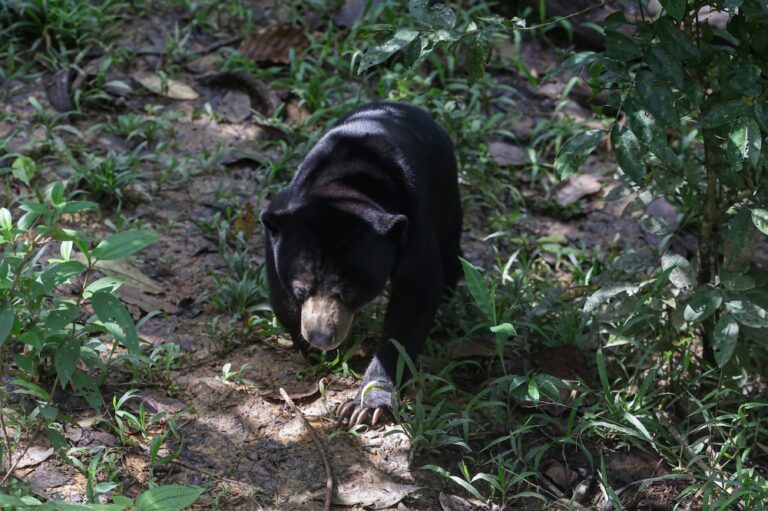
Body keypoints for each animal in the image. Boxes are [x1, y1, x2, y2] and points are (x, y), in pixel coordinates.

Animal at [260, 101, 462, 426]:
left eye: (349, 292)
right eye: (302, 290)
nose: (321, 338)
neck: (346, 188)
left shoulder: (413, 223)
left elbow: (416, 295)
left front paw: (368, 405)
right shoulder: (282, 218)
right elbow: (279, 290)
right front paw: (311, 350)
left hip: (447, 195)